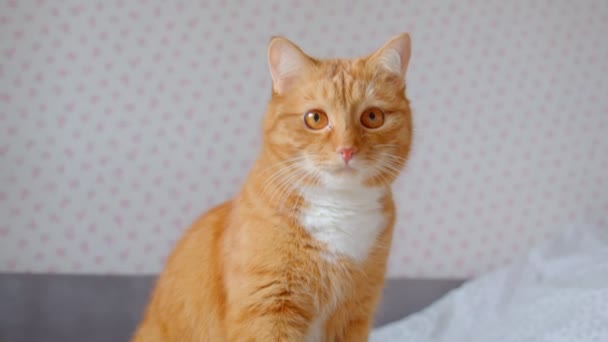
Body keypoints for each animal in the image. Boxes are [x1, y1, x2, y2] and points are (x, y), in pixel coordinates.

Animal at [132, 32, 414, 342]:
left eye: (372, 117)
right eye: (315, 118)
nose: (346, 150)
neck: (339, 210)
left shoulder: (355, 313)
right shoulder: (267, 309)